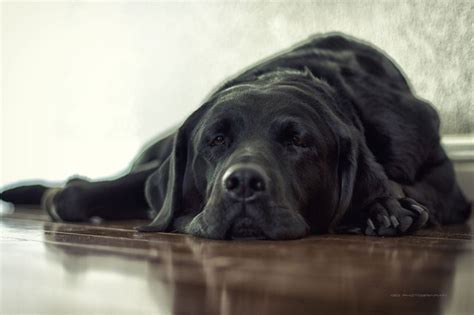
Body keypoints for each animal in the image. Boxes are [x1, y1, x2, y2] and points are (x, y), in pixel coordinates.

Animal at [2, 32, 470, 239]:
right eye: (215, 140)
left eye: (299, 142)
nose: (243, 182)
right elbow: (82, 195)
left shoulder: (441, 173)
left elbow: (416, 188)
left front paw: (384, 205)